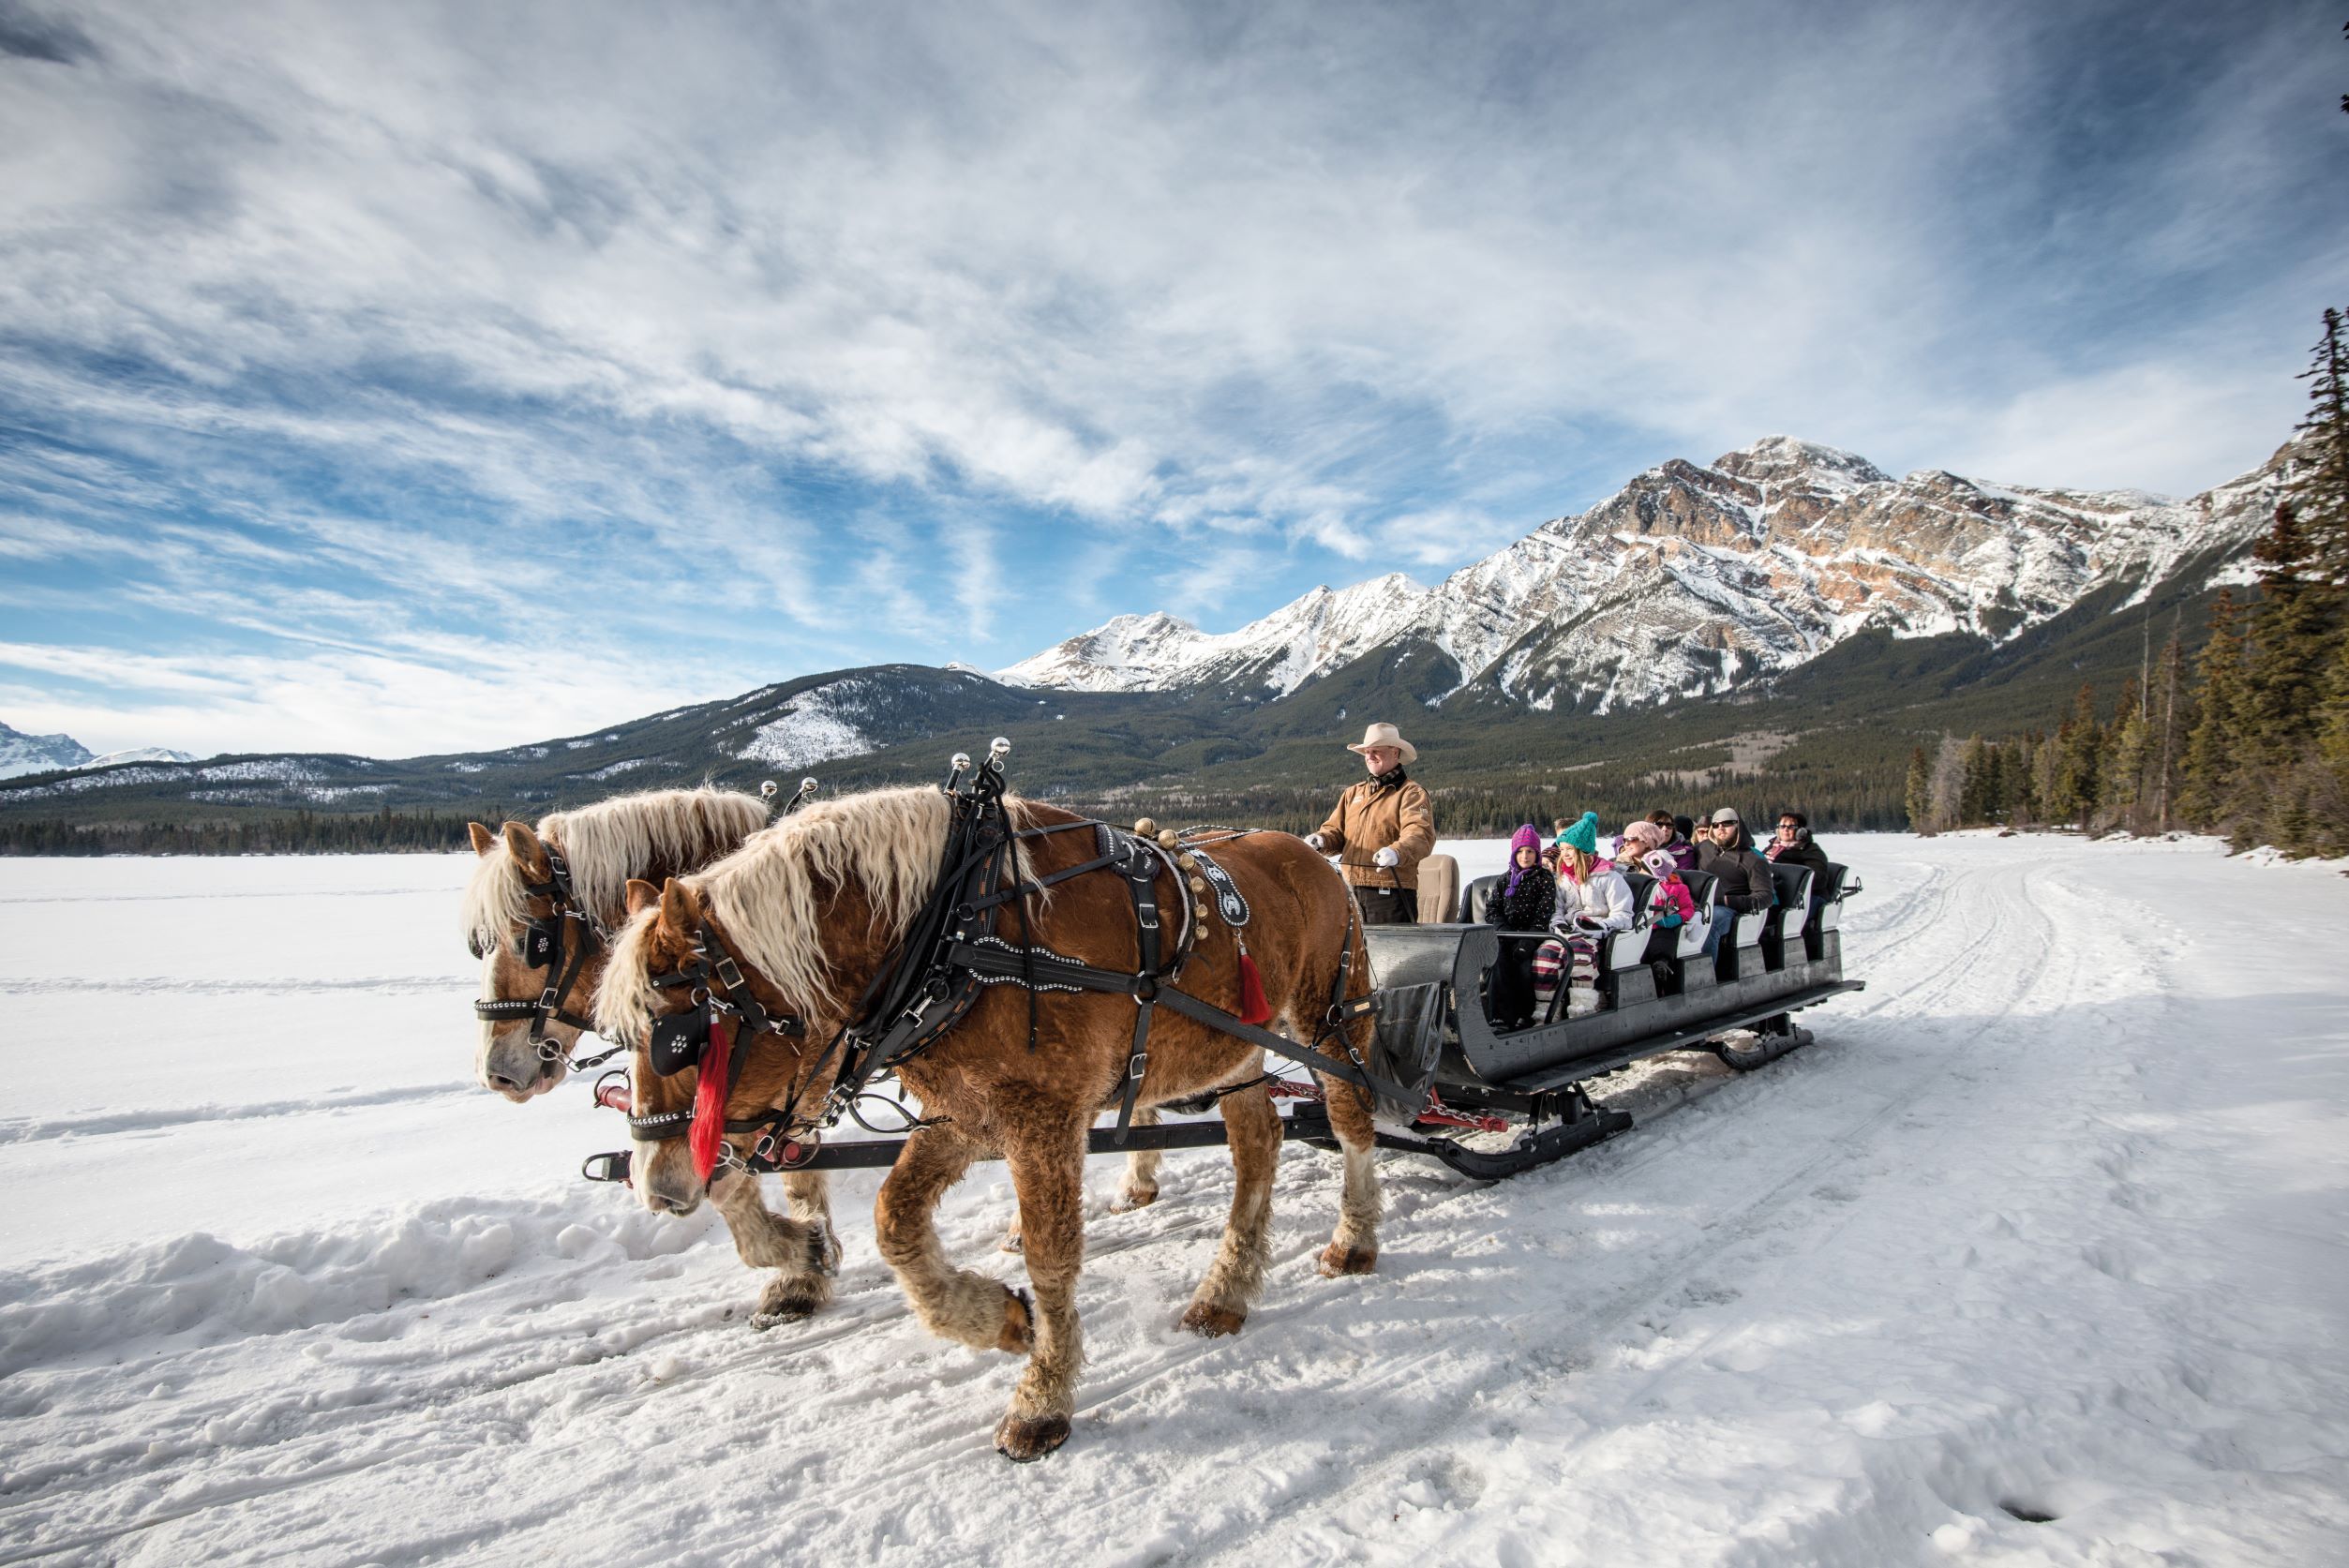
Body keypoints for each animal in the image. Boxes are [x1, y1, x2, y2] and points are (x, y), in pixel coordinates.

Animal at [456, 784, 845, 1323]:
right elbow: (769, 1172)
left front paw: (801, 1257)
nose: (495, 1073)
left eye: (529, 942)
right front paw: (804, 1266)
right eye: (479, 945)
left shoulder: (802, 1071)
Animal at [596, 784, 1381, 1455]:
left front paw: (1042, 1396)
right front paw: (998, 1320)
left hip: (1328, 1016)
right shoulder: (964, 1112)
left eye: (680, 1037)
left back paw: (1352, 1240)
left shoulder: (1044, 1118)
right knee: (1259, 1141)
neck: (956, 929)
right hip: (1235, 1049)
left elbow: (1051, 1255)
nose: (657, 1184)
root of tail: (1318, 855)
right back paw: (1224, 1292)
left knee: (1352, 1121)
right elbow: (895, 1221)